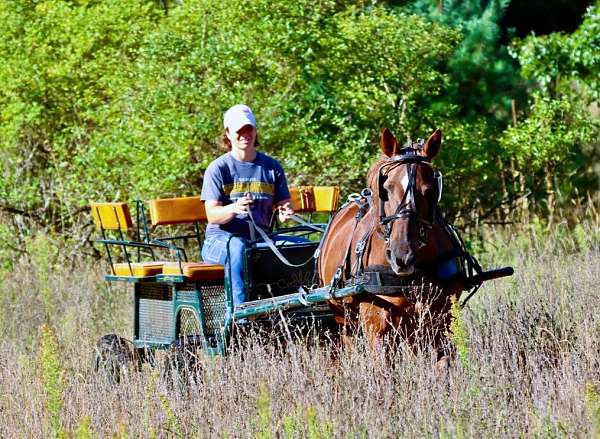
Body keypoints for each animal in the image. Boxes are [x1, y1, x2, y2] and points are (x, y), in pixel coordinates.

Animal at [316, 127, 472, 354]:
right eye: (386, 190)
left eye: (429, 191)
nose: (402, 257)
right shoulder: (377, 329)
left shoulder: (440, 323)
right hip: (344, 319)